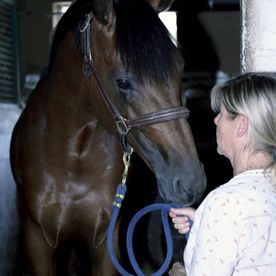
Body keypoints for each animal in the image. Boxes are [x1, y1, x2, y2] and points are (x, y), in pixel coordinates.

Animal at [9, 0, 206, 274]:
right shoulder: (37, 243)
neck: (72, 159)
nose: (191, 182)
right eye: (122, 82)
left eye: (180, 67)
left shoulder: (105, 244)